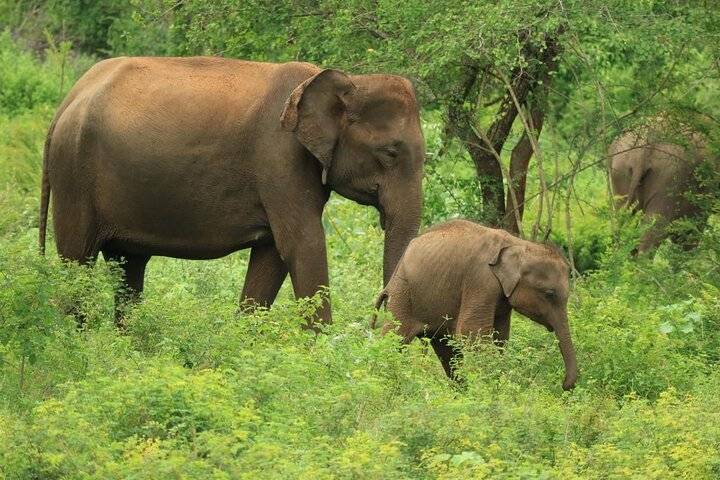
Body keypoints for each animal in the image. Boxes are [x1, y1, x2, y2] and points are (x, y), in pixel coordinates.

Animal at [38, 57, 425, 327]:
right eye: (391, 152)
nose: (373, 325)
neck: (342, 80)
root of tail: (66, 101)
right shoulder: (279, 157)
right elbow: (303, 244)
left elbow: (272, 255)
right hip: (74, 174)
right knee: (77, 261)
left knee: (128, 268)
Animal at [372, 219, 578, 391]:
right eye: (550, 294)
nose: (564, 385)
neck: (519, 244)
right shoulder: (481, 280)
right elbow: (471, 331)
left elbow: (500, 337)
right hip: (403, 293)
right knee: (395, 337)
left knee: (447, 350)